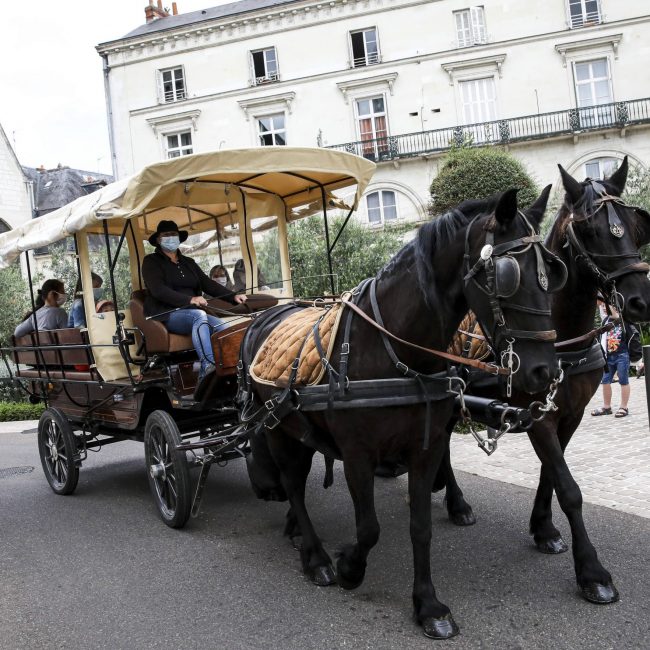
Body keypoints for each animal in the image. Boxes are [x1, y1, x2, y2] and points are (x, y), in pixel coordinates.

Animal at [240, 186, 560, 636]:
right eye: (507, 274)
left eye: (553, 270)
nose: (544, 370)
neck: (392, 346)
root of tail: (264, 314)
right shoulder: (358, 453)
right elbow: (369, 527)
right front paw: (349, 566)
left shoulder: (425, 449)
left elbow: (420, 526)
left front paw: (428, 605)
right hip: (276, 427)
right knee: (293, 484)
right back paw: (316, 557)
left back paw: (296, 533)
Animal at [436, 157, 648, 604]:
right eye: (590, 230)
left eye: (635, 226)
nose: (642, 300)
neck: (562, 338)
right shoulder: (537, 415)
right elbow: (569, 488)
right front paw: (592, 572)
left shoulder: (571, 413)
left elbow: (551, 474)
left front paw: (544, 528)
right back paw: (457, 503)